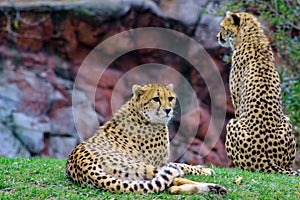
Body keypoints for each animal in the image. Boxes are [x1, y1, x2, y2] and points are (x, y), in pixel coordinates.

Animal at [65, 84, 225, 194]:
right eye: (156, 99)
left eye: (170, 98)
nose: (168, 110)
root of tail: (80, 164)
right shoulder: (158, 162)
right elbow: (180, 166)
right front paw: (205, 171)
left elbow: (181, 165)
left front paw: (201, 167)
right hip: (141, 166)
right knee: (174, 179)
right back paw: (214, 187)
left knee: (170, 184)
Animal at [217, 10, 298, 174]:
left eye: (222, 26)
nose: (217, 36)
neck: (251, 36)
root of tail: (267, 158)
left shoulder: (237, 103)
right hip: (286, 121)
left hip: (231, 124)